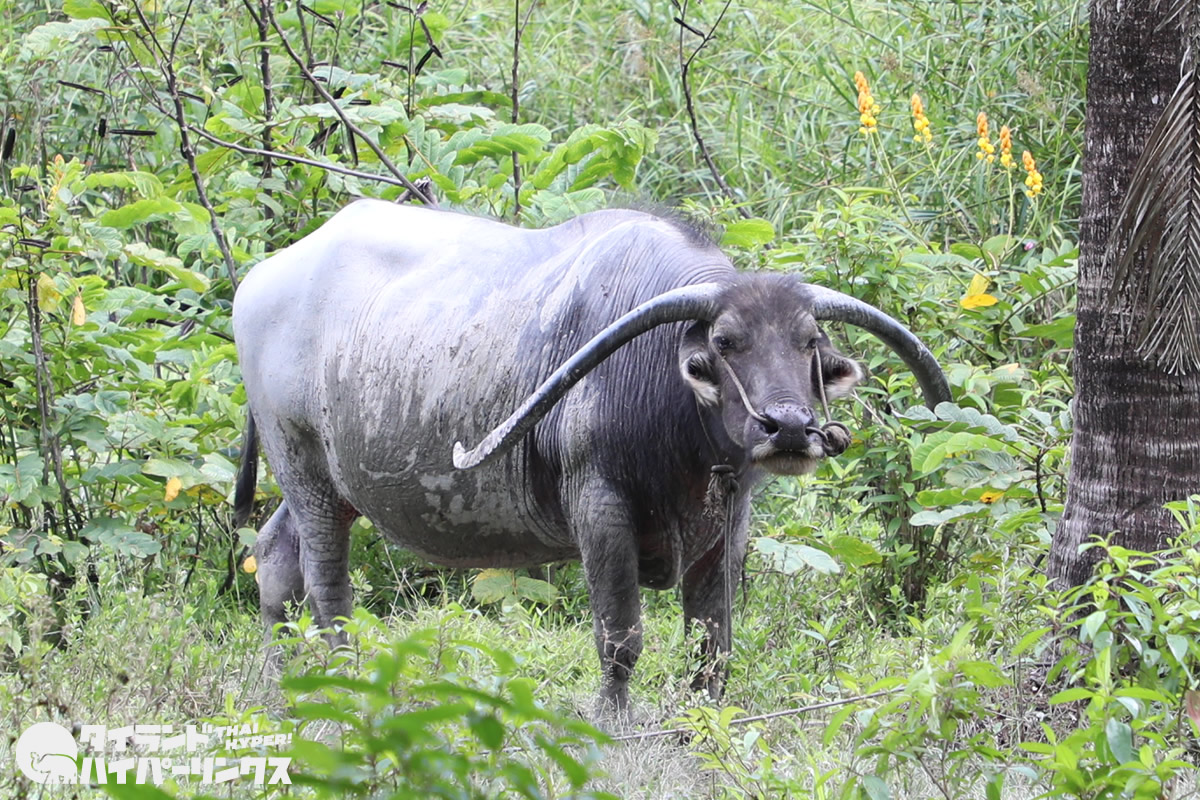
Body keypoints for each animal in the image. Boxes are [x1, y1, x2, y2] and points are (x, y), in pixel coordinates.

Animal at [231, 200, 945, 714]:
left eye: (809, 341)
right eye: (725, 341)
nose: (790, 428)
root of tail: (260, 280)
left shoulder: (728, 525)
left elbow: (712, 646)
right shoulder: (600, 511)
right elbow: (620, 636)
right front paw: (612, 718)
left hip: (317, 488)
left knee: (274, 557)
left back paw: (281, 685)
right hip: (302, 466)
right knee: (326, 588)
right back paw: (341, 682)